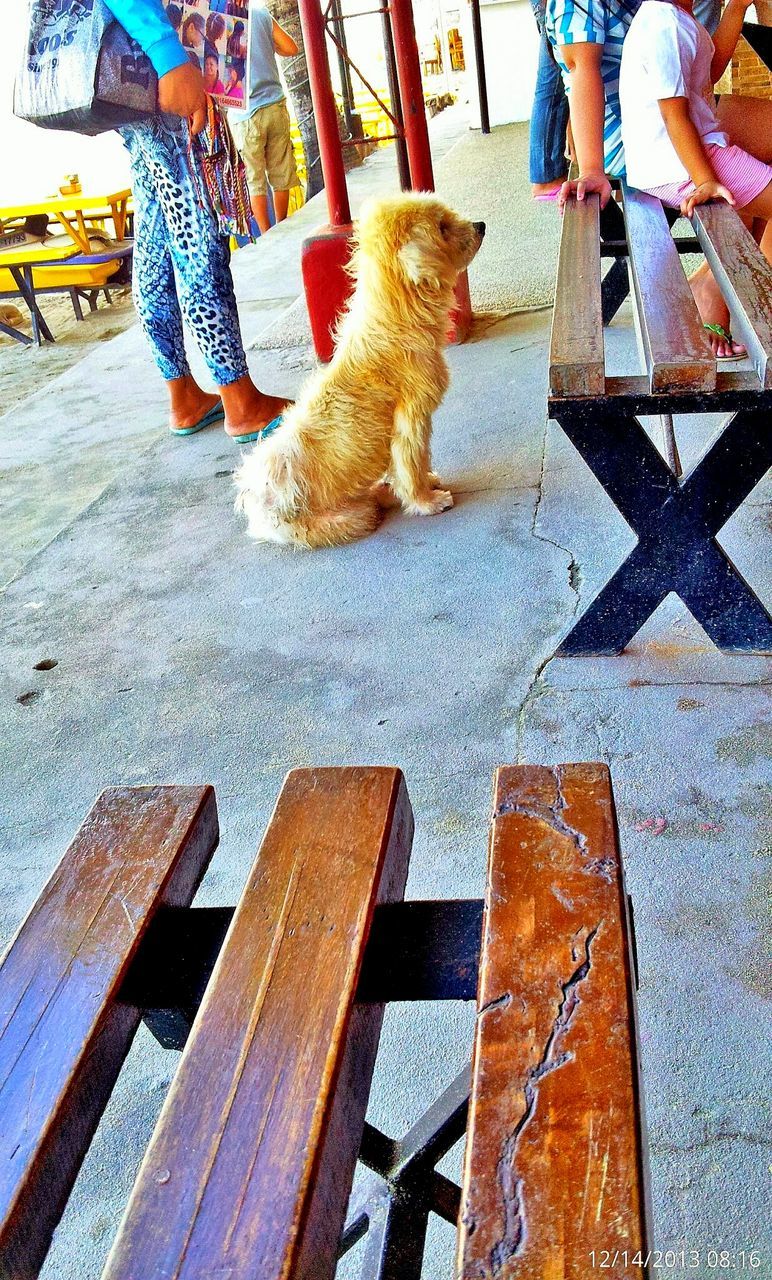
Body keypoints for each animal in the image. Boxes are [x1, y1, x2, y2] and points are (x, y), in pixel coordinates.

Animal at [233, 192, 483, 547]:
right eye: (442, 227)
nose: (481, 226)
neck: (395, 318)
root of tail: (257, 502)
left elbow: (412, 463)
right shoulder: (411, 418)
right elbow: (412, 462)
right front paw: (426, 501)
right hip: (341, 520)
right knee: (362, 513)